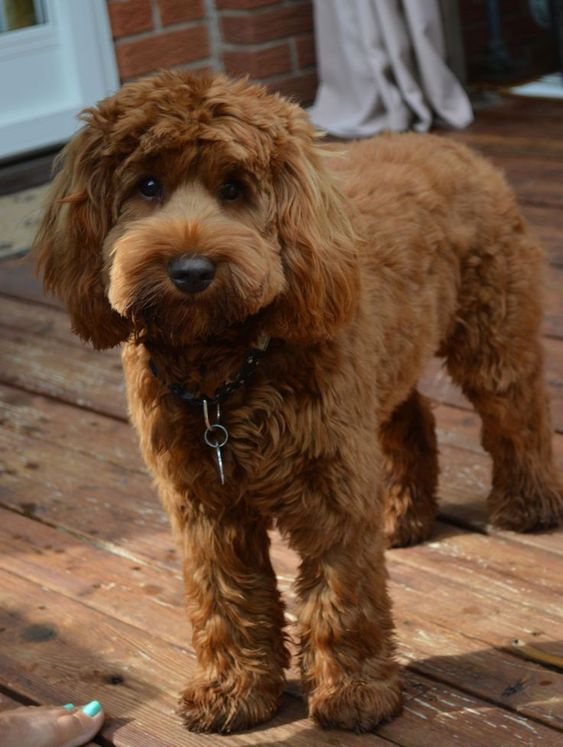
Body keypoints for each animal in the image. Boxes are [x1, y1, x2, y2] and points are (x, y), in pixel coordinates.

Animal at [33, 73, 560, 732]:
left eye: (234, 188)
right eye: (146, 186)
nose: (190, 269)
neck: (223, 371)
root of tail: (447, 145)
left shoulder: (331, 480)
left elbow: (342, 592)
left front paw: (355, 692)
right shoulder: (204, 503)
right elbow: (224, 596)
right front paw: (233, 690)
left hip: (492, 333)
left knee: (517, 414)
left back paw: (527, 505)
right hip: (385, 364)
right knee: (411, 420)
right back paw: (401, 516)